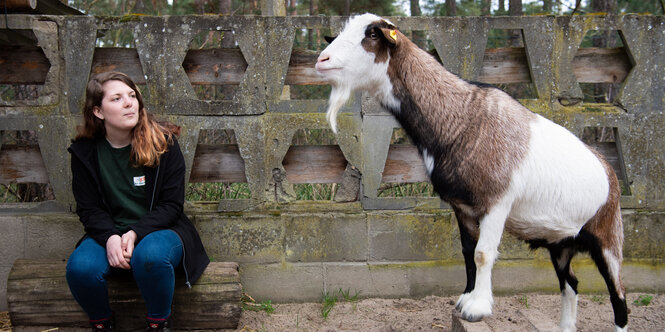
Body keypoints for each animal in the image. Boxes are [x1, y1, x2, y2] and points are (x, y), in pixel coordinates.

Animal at [316, 13, 628, 332]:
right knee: (571, 283)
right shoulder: (462, 206)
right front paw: (465, 298)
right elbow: (468, 252)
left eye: (372, 35)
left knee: (618, 296)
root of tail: (609, 172)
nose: (321, 60)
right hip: (560, 242)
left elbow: (483, 253)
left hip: (608, 236)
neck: (462, 119)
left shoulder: (496, 202)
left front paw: (477, 308)